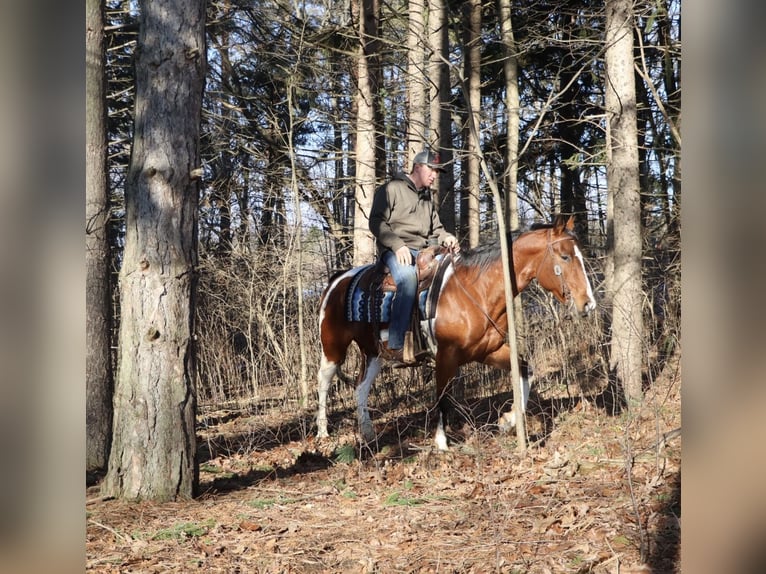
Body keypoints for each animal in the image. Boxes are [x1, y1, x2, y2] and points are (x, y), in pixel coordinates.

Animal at [315, 214, 597, 450]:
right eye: (564, 257)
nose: (588, 304)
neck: (476, 290)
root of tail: (338, 280)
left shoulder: (487, 351)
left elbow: (525, 370)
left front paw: (508, 420)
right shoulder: (446, 356)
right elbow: (443, 397)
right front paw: (441, 443)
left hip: (373, 352)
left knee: (360, 388)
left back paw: (368, 434)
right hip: (333, 348)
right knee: (324, 381)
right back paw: (322, 432)